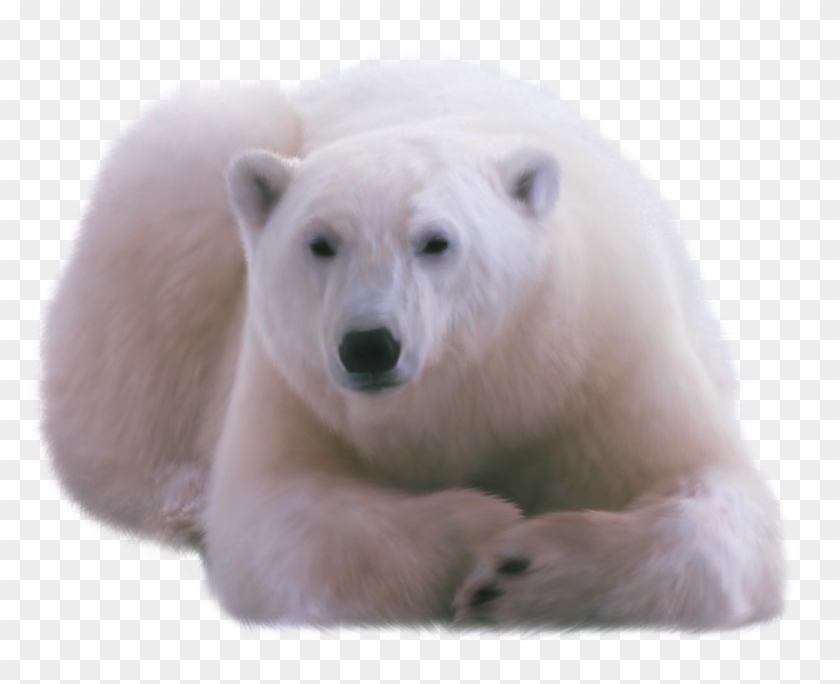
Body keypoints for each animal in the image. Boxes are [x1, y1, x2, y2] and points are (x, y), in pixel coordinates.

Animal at [41, 62, 784, 629]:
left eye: (436, 241)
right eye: (320, 242)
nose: (370, 346)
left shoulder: (605, 357)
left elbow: (715, 499)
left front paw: (519, 571)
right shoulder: (294, 383)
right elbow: (282, 521)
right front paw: (483, 527)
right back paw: (180, 496)